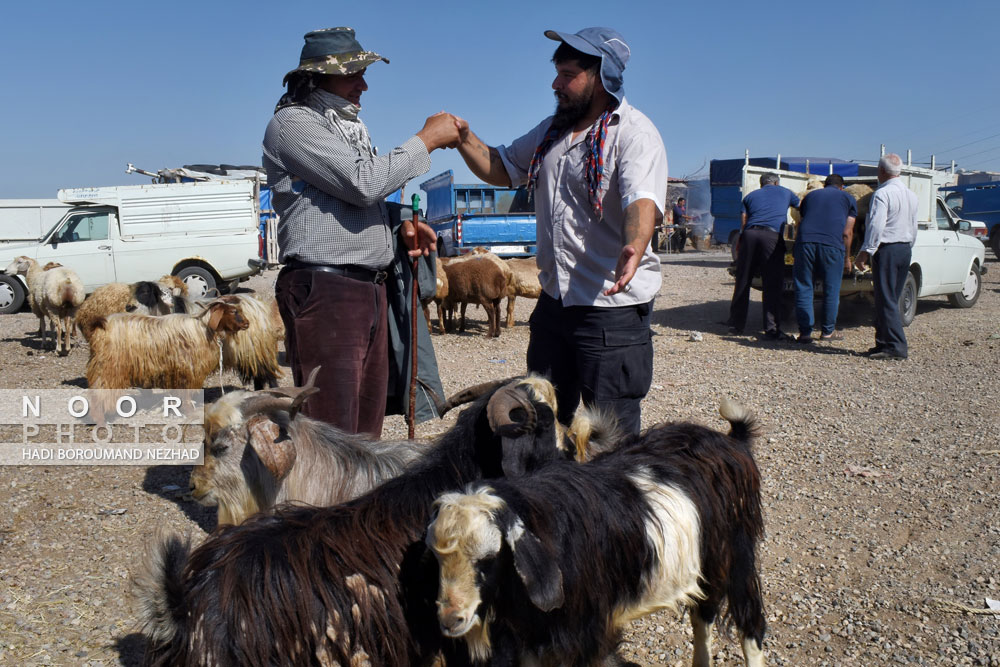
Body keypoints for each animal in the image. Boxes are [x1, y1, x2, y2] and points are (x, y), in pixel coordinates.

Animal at [424, 400, 764, 664]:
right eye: (438, 559)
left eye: (488, 558)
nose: (449, 619)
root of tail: (731, 441)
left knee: (750, 624)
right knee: (703, 614)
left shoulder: (588, 634)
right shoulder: (535, 635)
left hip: (738, 554)